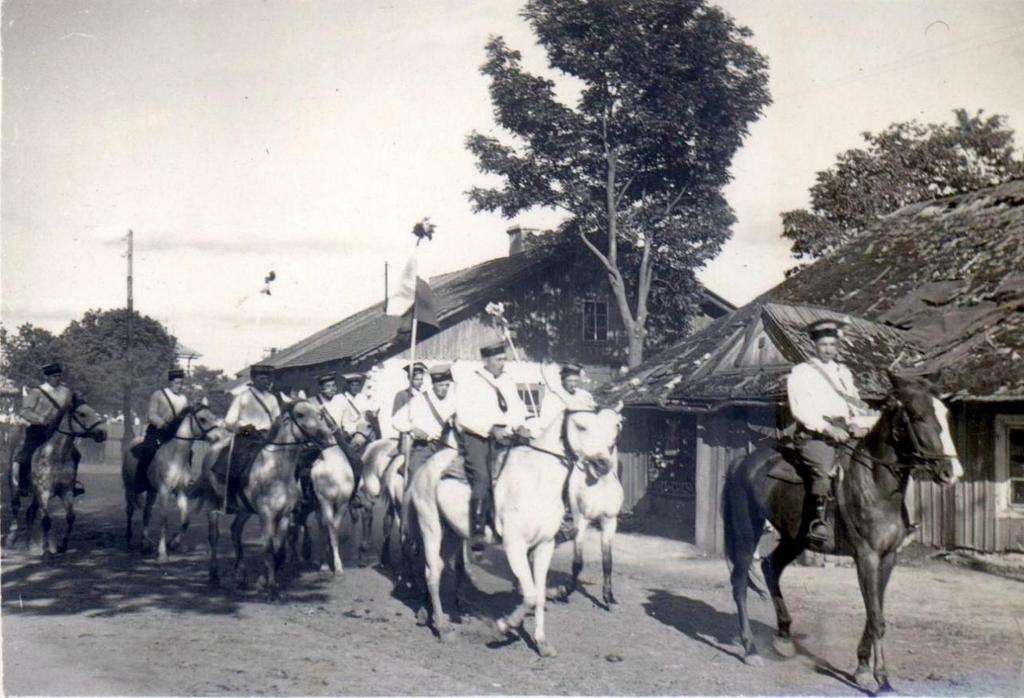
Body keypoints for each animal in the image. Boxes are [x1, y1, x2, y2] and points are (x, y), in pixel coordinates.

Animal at [6, 395, 106, 552]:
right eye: (82, 414)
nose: (103, 433)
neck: (56, 456)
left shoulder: (66, 492)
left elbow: (70, 517)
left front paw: (62, 545)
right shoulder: (44, 493)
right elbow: (46, 521)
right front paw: (46, 548)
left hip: (35, 495)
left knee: (30, 512)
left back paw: (29, 543)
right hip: (15, 487)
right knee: (16, 508)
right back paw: (11, 539)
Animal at [192, 397, 335, 597]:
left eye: (320, 414)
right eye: (300, 414)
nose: (327, 438)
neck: (276, 470)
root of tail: (214, 447)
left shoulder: (284, 515)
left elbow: (280, 552)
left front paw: (262, 582)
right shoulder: (266, 515)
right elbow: (268, 550)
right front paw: (272, 591)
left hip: (244, 510)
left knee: (235, 530)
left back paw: (240, 577)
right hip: (213, 504)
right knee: (214, 536)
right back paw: (214, 577)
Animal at [403, 405, 618, 655]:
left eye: (611, 429)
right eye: (581, 426)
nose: (604, 464)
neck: (537, 480)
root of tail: (424, 468)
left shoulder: (545, 546)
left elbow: (539, 594)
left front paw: (542, 642)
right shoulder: (515, 547)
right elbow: (530, 595)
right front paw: (503, 627)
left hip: (452, 534)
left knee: (436, 566)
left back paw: (432, 614)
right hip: (430, 526)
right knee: (432, 572)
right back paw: (443, 627)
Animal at [724, 372, 962, 687]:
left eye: (945, 415)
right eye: (919, 416)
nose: (951, 473)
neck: (876, 486)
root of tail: (743, 462)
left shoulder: (887, 558)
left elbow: (874, 613)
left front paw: (862, 668)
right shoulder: (866, 557)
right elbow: (876, 618)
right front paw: (881, 678)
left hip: (794, 539)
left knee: (770, 567)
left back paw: (784, 637)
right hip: (746, 530)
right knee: (740, 581)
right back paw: (750, 648)